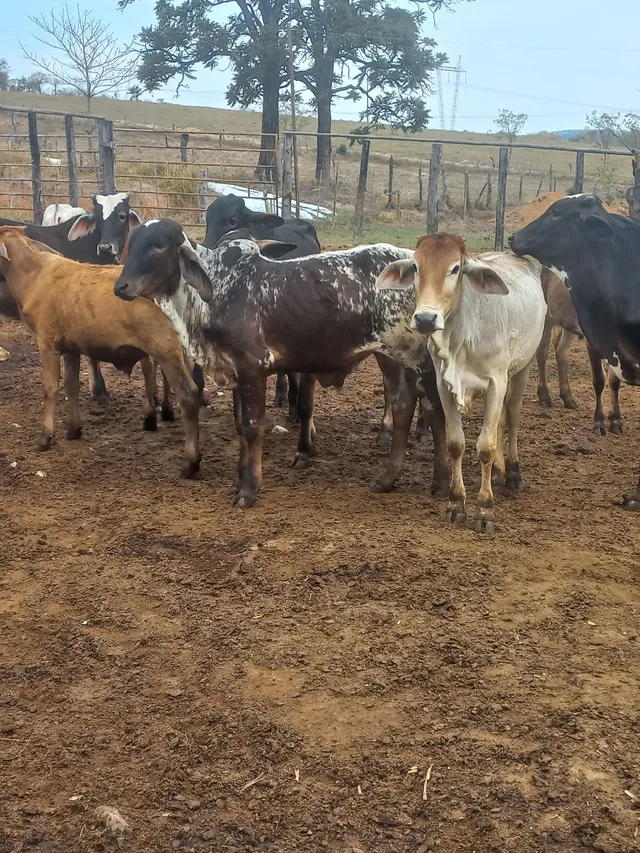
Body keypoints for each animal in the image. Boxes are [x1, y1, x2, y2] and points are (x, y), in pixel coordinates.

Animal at [114, 219, 449, 508]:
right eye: (134, 242)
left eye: (158, 245)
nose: (121, 287)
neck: (218, 290)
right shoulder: (234, 371)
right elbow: (239, 426)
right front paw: (237, 482)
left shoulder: (253, 367)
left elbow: (252, 427)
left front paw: (249, 490)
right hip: (392, 356)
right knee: (403, 406)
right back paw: (388, 479)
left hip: (422, 360)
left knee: (435, 411)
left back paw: (443, 483)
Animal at [376, 234, 547, 534]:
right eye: (416, 266)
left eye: (456, 268)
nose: (425, 318)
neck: (464, 336)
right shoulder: (445, 386)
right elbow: (456, 443)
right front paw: (456, 504)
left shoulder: (496, 382)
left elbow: (486, 447)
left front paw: (485, 509)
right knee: (500, 422)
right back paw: (499, 474)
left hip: (522, 368)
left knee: (512, 416)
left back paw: (513, 473)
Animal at [509, 192, 640, 509]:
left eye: (557, 212)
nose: (513, 237)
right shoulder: (597, 340)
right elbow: (600, 380)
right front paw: (600, 422)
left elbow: (613, 381)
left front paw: (615, 419)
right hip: (547, 319)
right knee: (544, 353)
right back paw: (546, 395)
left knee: (560, 353)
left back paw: (566, 395)